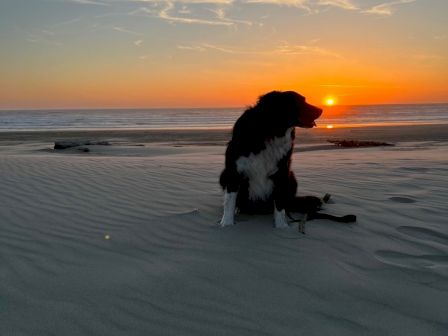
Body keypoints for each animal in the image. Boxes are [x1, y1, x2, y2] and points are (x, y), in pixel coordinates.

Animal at [220, 90, 322, 228]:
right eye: (300, 102)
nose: (321, 110)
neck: (269, 133)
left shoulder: (282, 171)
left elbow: (279, 203)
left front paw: (281, 227)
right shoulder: (234, 171)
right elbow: (229, 201)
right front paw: (227, 223)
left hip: (292, 177)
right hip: (223, 175)